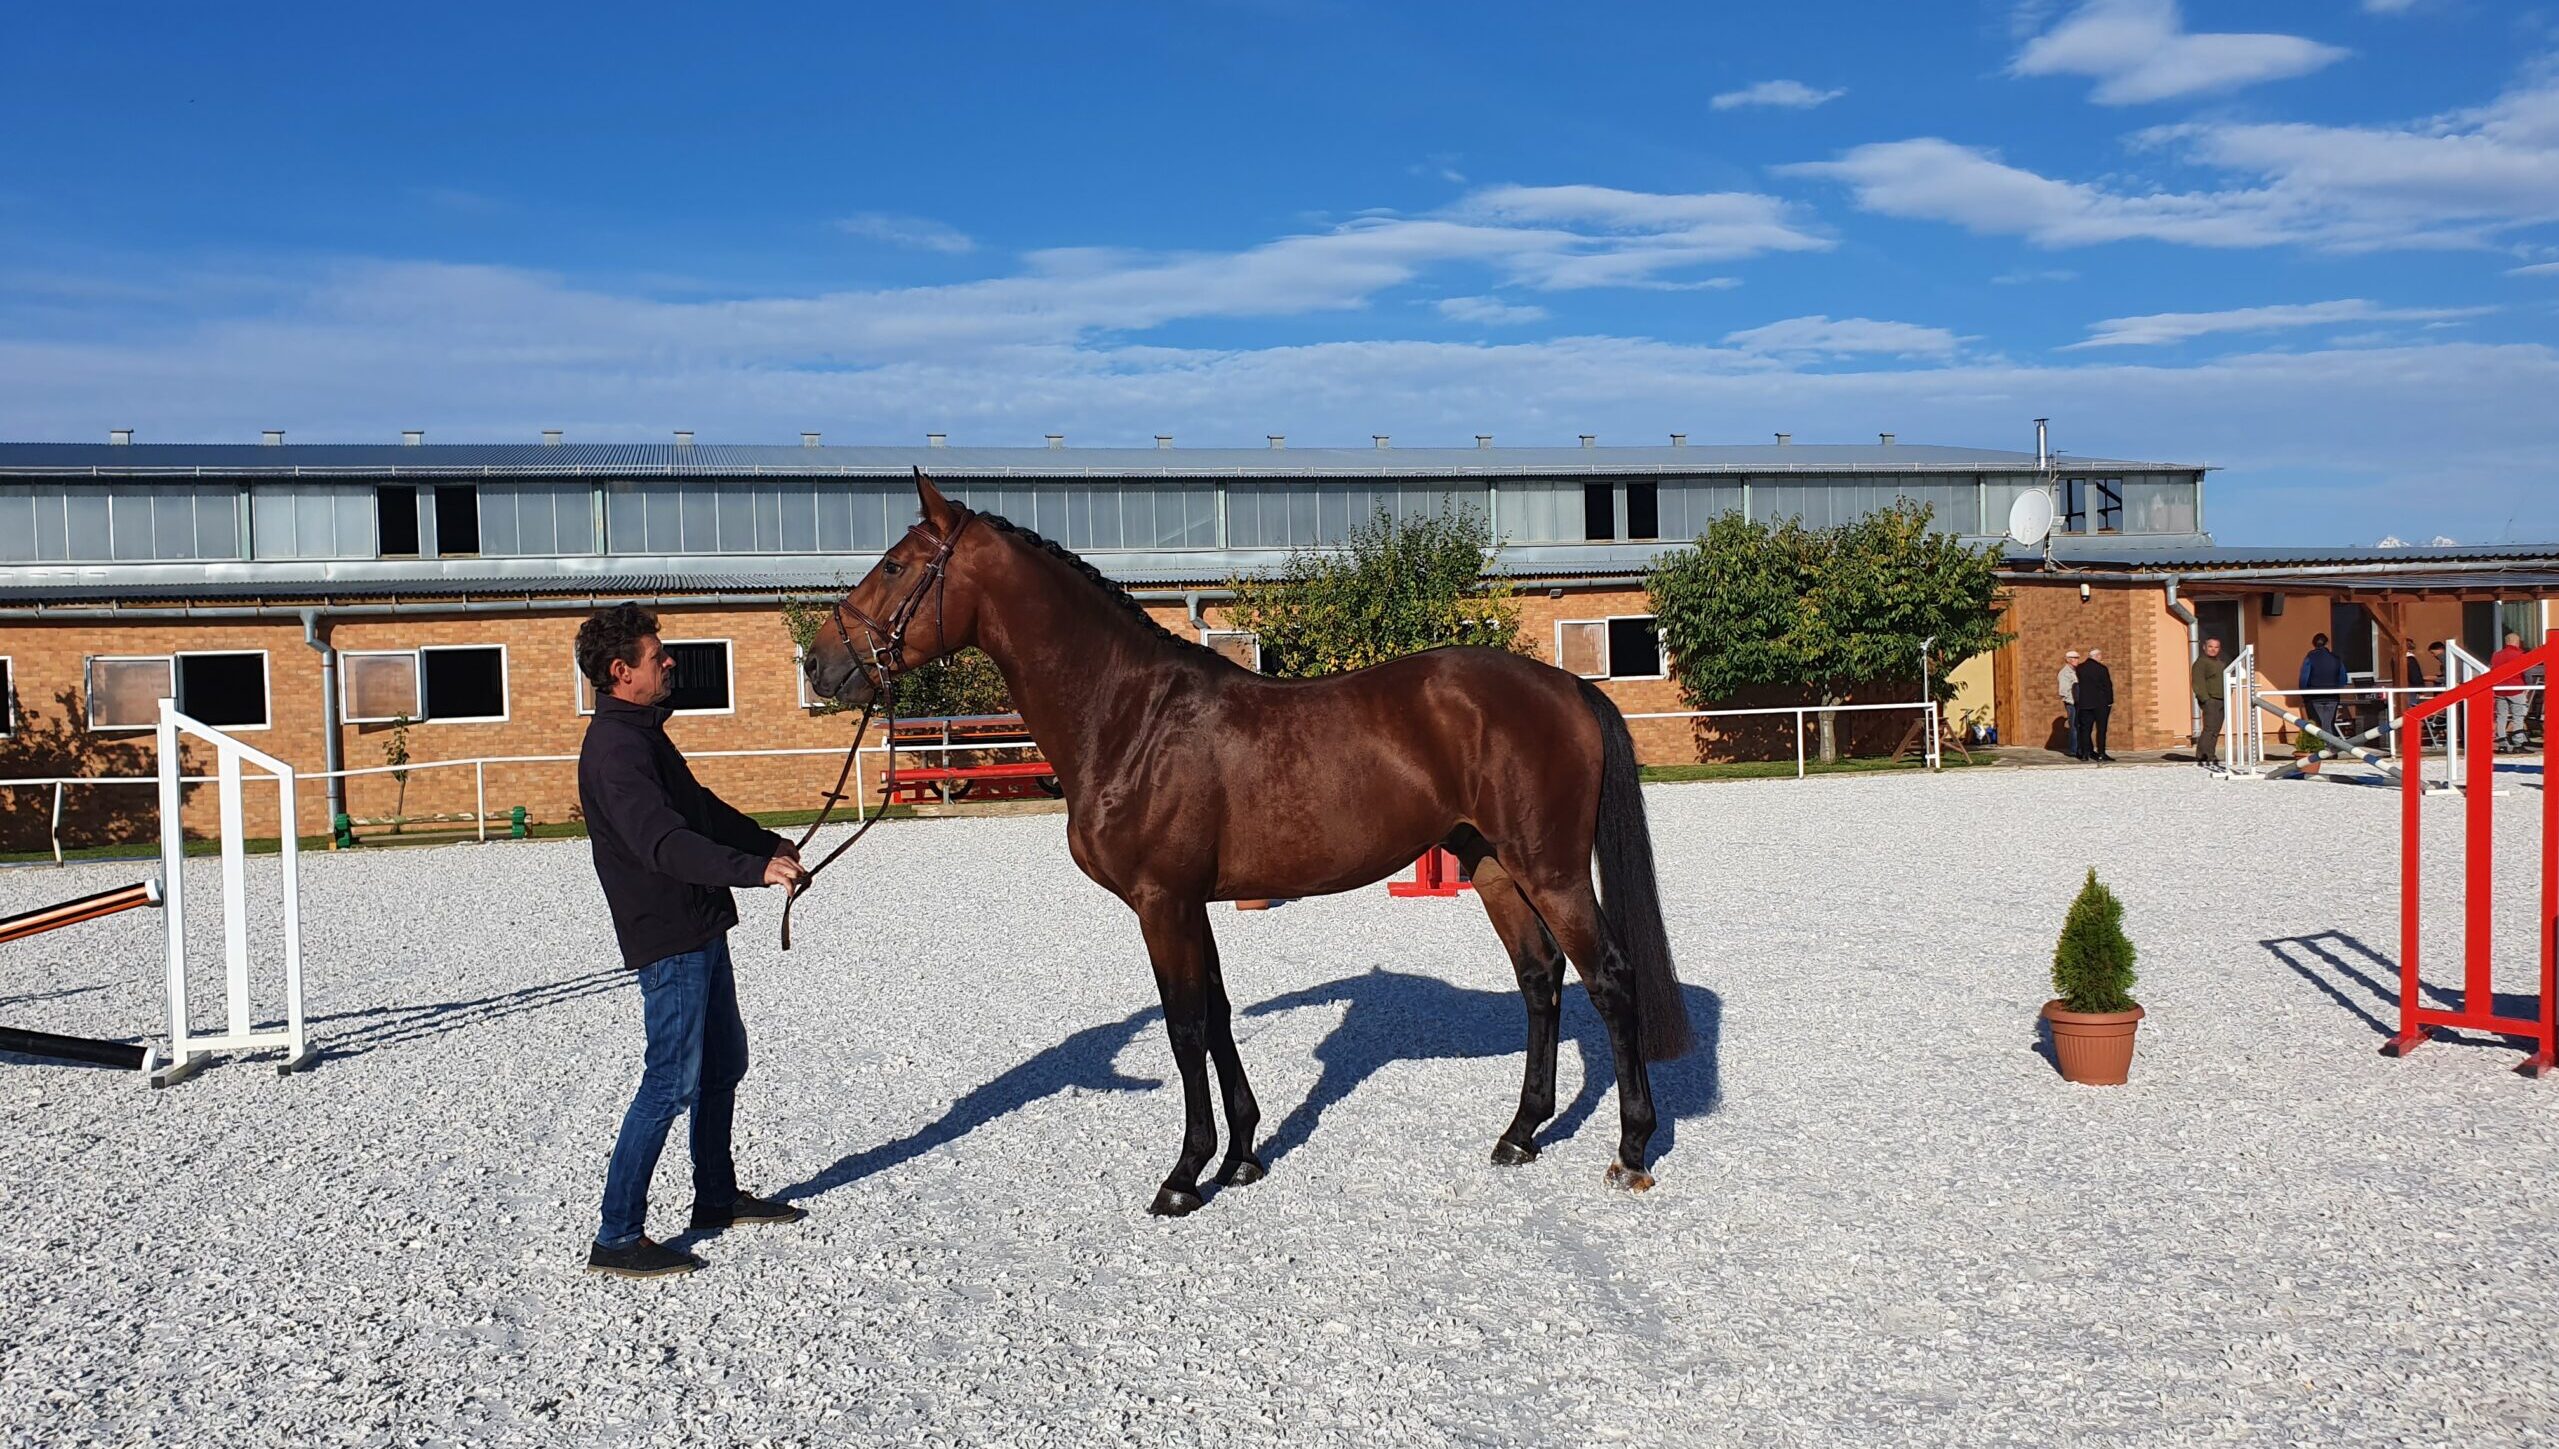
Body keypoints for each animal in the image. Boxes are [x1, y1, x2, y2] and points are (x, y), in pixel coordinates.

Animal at [798, 473, 1678, 1213]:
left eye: (895, 565)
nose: (817, 662)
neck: (1130, 715)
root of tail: (1566, 685)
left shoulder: (1160, 902)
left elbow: (1184, 1026)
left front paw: (1185, 1174)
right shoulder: (1193, 903)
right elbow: (1217, 1014)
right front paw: (1244, 1154)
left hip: (1551, 869)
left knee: (1608, 979)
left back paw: (1632, 1148)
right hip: (1492, 865)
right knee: (1539, 978)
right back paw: (1520, 1133)